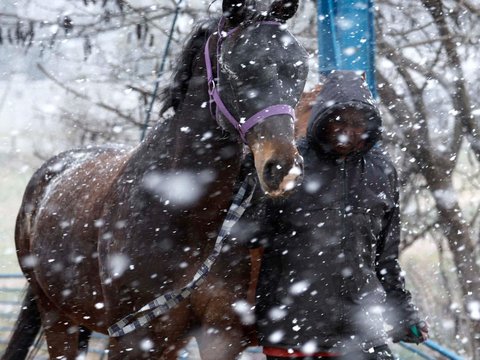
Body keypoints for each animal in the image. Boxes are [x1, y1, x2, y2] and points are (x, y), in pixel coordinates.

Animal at [1, 0, 310, 360]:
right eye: (234, 69)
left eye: (300, 67)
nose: (283, 168)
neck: (184, 209)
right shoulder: (130, 337)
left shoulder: (220, 334)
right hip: (57, 318)